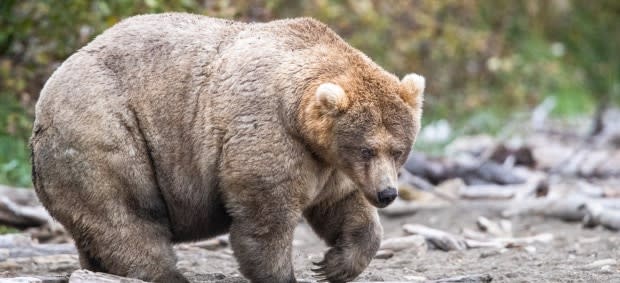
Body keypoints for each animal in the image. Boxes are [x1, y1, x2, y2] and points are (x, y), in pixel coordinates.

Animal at [31, 12, 424, 283]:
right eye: (367, 149)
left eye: (398, 150)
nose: (387, 193)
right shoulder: (269, 132)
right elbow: (265, 216)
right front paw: (284, 273)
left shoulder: (328, 162)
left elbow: (343, 206)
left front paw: (333, 265)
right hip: (105, 129)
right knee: (125, 214)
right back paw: (166, 274)